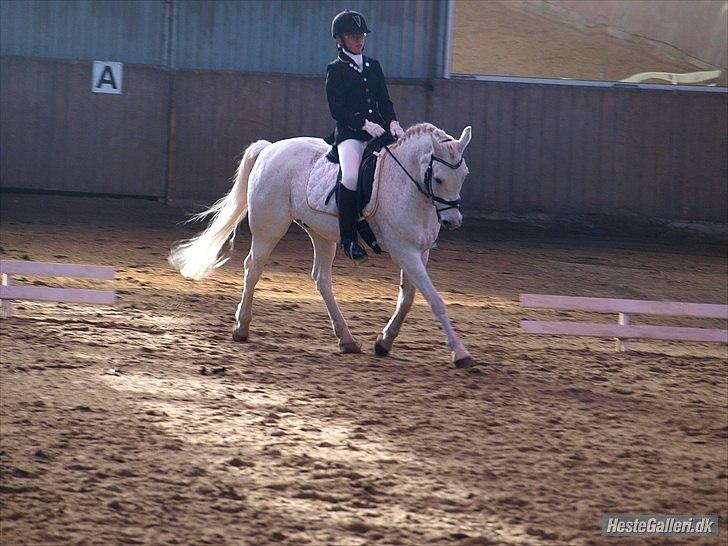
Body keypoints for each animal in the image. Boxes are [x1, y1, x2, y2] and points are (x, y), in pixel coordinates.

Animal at [168, 122, 475, 368]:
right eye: (439, 178)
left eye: (464, 175)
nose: (453, 221)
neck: (407, 185)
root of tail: (270, 149)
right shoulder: (404, 250)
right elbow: (434, 300)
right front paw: (460, 354)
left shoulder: (419, 252)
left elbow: (408, 298)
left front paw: (384, 342)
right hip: (270, 228)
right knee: (252, 268)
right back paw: (242, 327)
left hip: (321, 234)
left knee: (321, 279)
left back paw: (347, 339)